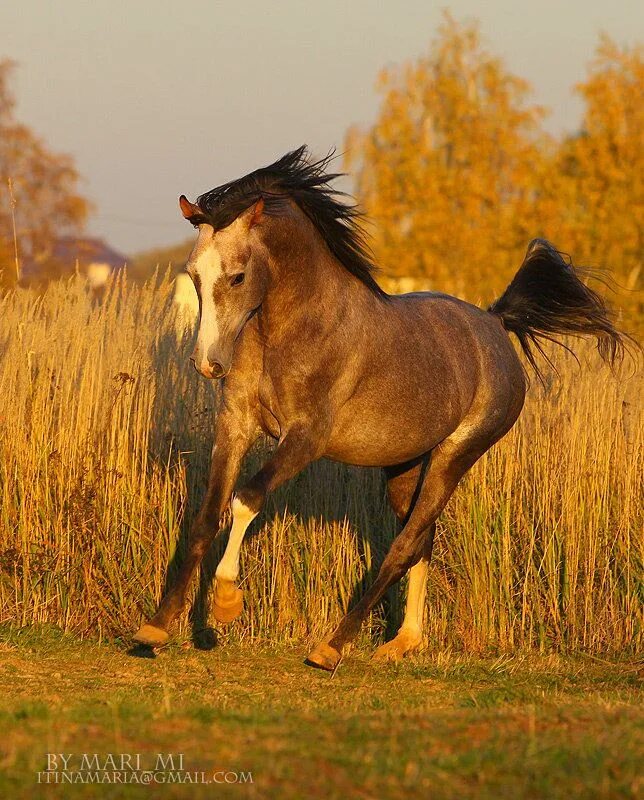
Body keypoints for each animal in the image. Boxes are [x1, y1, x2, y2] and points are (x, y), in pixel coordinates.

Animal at [135, 145, 624, 668]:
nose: (208, 364)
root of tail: (495, 324)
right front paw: (155, 628)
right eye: (193, 274)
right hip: (403, 467)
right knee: (422, 536)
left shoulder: (303, 439)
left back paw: (331, 646)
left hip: (454, 456)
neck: (293, 329)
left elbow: (246, 499)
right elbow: (208, 515)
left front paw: (227, 603)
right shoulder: (236, 425)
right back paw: (404, 641)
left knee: (406, 542)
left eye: (238, 276)